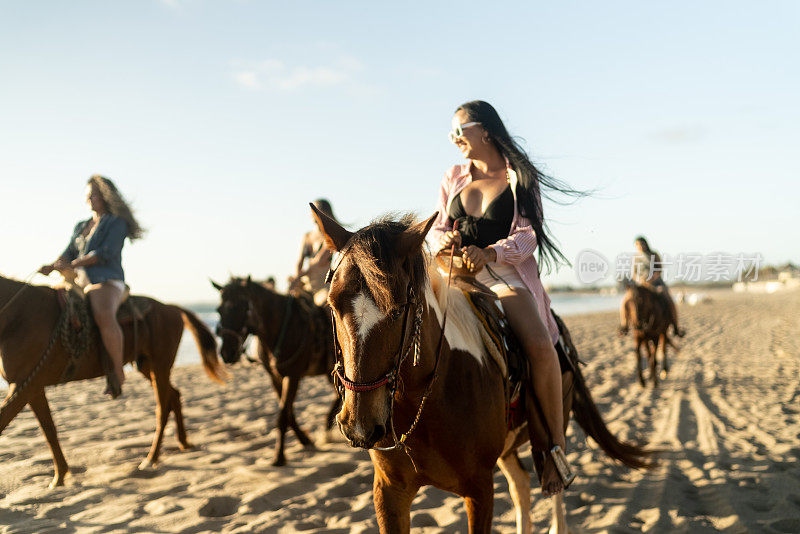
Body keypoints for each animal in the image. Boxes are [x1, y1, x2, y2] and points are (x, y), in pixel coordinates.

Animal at [0, 276, 227, 490]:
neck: (20, 317)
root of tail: (170, 307)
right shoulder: (31, 387)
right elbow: (49, 430)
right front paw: (60, 477)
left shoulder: (26, 385)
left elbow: (7, 421)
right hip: (147, 366)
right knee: (174, 395)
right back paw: (183, 443)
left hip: (160, 365)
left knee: (162, 407)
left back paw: (151, 458)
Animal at [211, 278, 340, 466]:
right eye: (219, 310)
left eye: (243, 308)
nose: (227, 353)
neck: (281, 328)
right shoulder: (275, 377)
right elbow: (288, 412)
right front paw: (304, 440)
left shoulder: (293, 376)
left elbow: (283, 416)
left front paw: (279, 457)